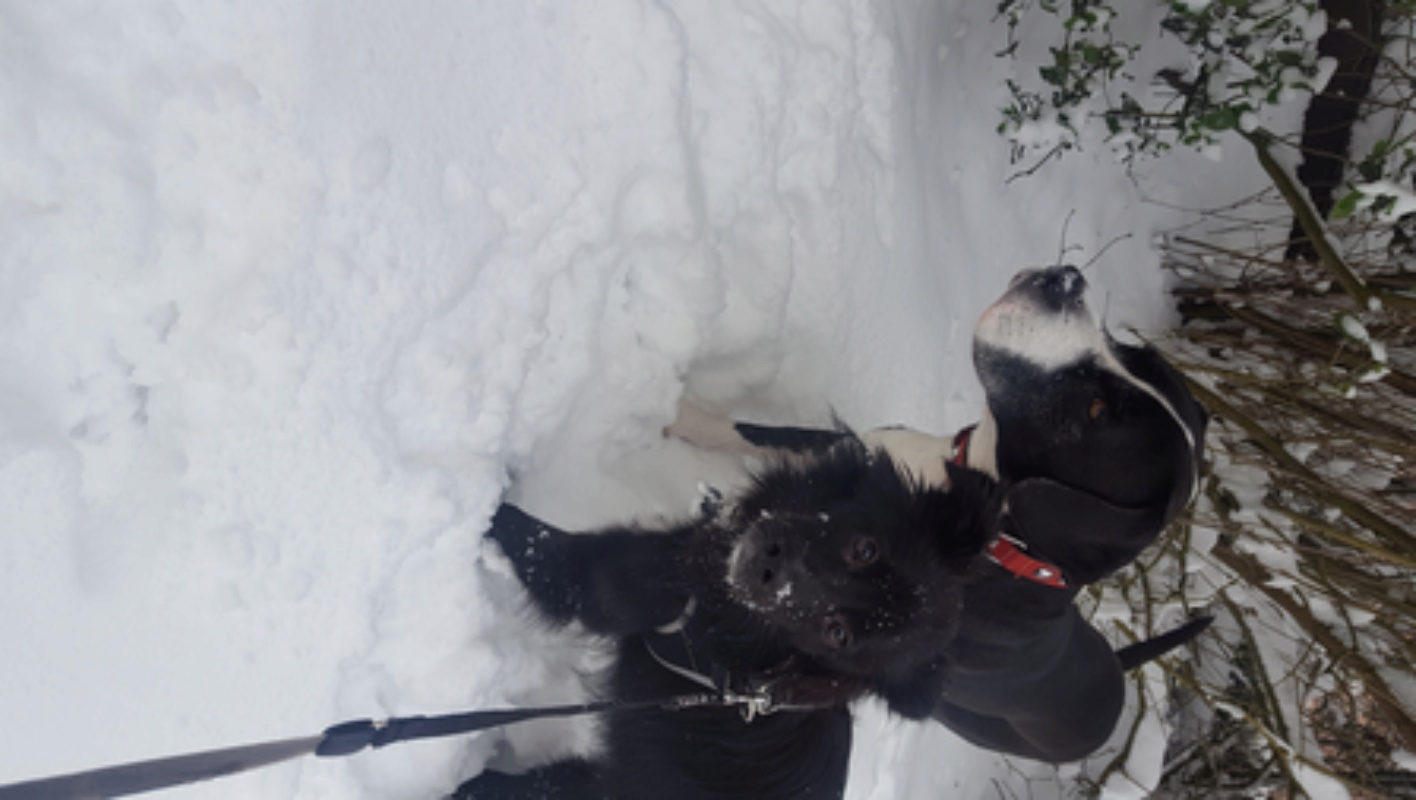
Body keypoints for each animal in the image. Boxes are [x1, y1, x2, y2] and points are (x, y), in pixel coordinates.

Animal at [458, 436, 1002, 798]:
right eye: (865, 550)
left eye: (838, 634)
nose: (770, 569)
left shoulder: (616, 583)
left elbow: (531, 537)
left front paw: (485, 487)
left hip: (579, 784)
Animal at [668, 263, 1212, 758]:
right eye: (1130, 352)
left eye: (1095, 411)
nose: (1067, 280)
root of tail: (1116, 682)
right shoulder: (852, 454)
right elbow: (754, 433)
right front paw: (677, 415)